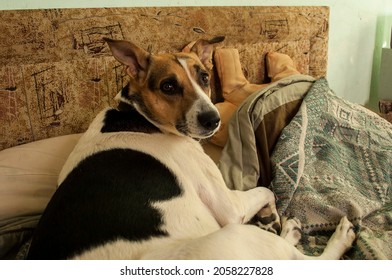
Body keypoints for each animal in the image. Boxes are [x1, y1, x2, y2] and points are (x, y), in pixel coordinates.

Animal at [26, 37, 354, 260]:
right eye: (168, 86)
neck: (136, 116)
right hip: (239, 234)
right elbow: (266, 190)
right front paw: (272, 213)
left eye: (205, 77)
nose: (213, 120)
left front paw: (270, 217)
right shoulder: (230, 207)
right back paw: (327, 235)